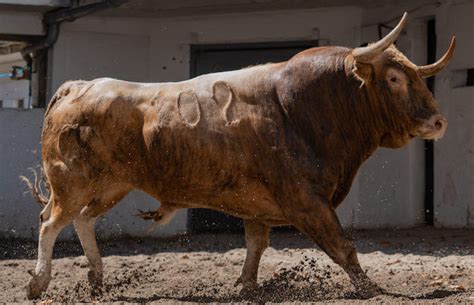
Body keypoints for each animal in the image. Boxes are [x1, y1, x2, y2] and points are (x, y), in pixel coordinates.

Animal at [25, 12, 456, 300]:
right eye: (394, 78)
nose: (438, 121)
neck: (305, 106)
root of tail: (78, 86)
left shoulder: (258, 210)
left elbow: (255, 248)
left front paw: (245, 286)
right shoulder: (307, 202)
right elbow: (343, 246)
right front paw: (371, 287)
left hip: (112, 184)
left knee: (82, 221)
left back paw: (97, 280)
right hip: (72, 183)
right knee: (50, 223)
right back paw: (39, 283)